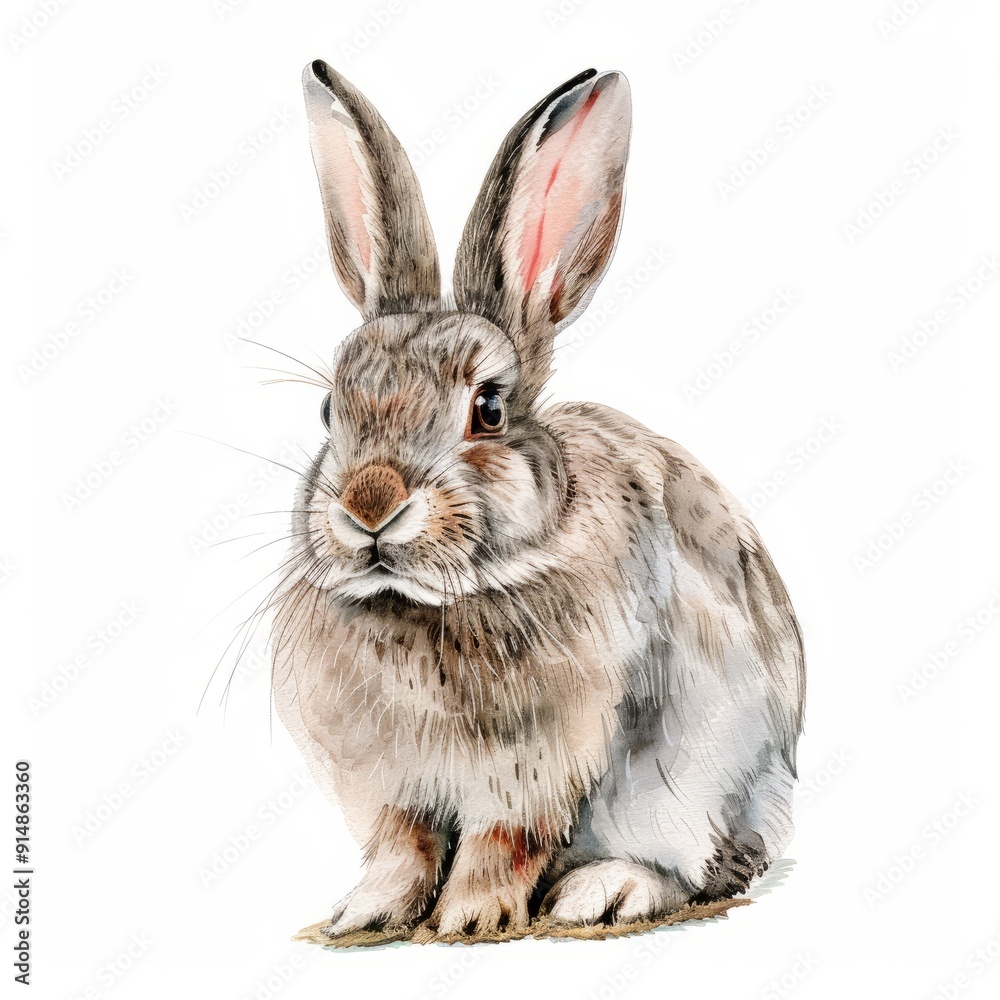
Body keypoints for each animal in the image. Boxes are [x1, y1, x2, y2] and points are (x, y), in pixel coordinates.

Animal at [270, 59, 805, 941]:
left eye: (487, 408)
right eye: (328, 410)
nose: (370, 505)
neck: (429, 604)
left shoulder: (538, 770)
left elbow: (502, 842)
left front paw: (469, 918)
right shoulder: (397, 789)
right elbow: (404, 847)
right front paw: (366, 914)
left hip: (694, 778)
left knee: (695, 867)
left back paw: (605, 890)